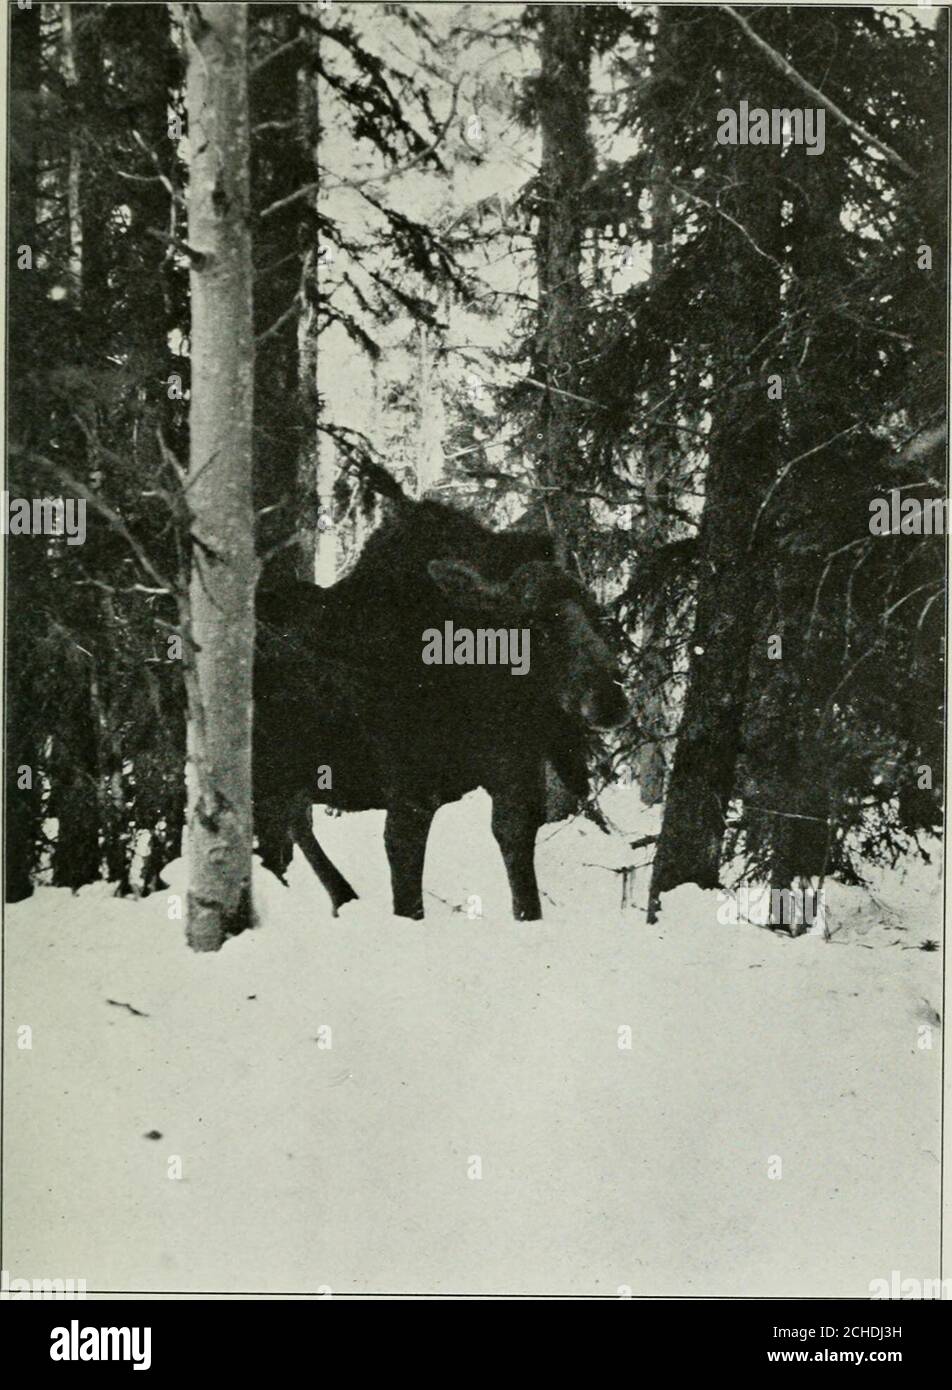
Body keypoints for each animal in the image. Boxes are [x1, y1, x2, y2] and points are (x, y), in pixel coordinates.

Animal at [252, 469, 628, 922]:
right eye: (535, 624)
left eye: (595, 610)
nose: (609, 696)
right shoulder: (411, 793)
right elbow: (408, 898)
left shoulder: (514, 778)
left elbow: (524, 889)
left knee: (292, 823)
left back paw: (343, 896)